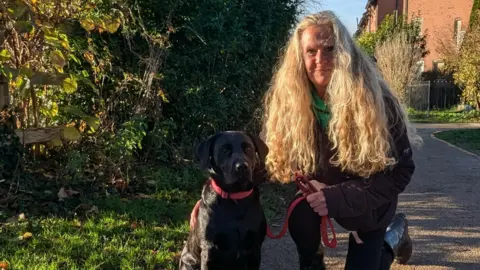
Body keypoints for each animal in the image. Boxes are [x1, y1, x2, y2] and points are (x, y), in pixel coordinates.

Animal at [180, 130, 270, 268]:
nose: (242, 166)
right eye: (224, 150)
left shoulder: (254, 249)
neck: (235, 198)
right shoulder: (209, 250)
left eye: (248, 148)